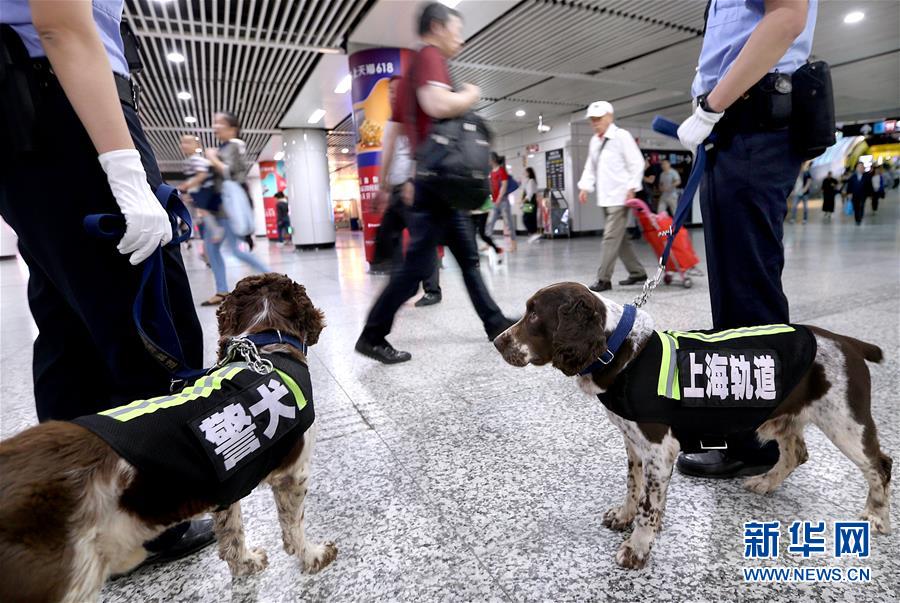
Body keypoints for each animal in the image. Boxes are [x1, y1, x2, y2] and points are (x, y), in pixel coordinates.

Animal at [0, 274, 338, 603]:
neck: (265, 343)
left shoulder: (228, 481)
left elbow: (232, 533)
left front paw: (246, 563)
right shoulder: (293, 474)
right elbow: (294, 527)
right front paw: (313, 556)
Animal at [492, 284, 892, 572]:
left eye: (533, 314)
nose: (496, 341)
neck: (621, 350)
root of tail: (848, 342)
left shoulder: (659, 448)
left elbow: (649, 504)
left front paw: (638, 548)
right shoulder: (634, 443)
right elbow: (634, 486)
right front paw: (625, 516)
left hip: (845, 421)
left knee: (879, 464)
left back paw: (876, 515)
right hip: (785, 415)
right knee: (797, 451)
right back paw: (765, 482)